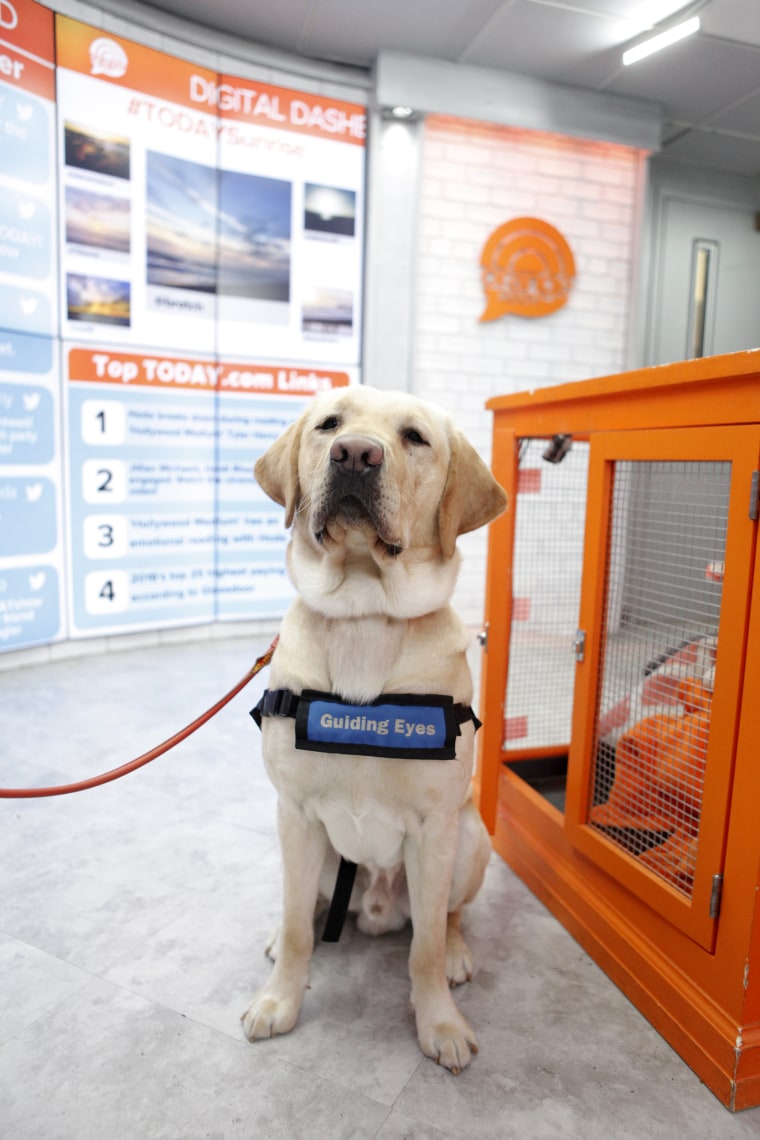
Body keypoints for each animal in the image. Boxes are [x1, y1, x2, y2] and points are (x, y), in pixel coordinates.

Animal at [243, 387, 505, 1071]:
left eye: (415, 437)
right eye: (329, 424)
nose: (355, 454)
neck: (364, 612)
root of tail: (378, 908)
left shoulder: (436, 827)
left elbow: (426, 948)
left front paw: (439, 1021)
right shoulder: (295, 812)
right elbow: (298, 927)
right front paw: (279, 1000)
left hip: (471, 841)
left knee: (448, 918)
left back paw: (459, 952)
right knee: (303, 909)